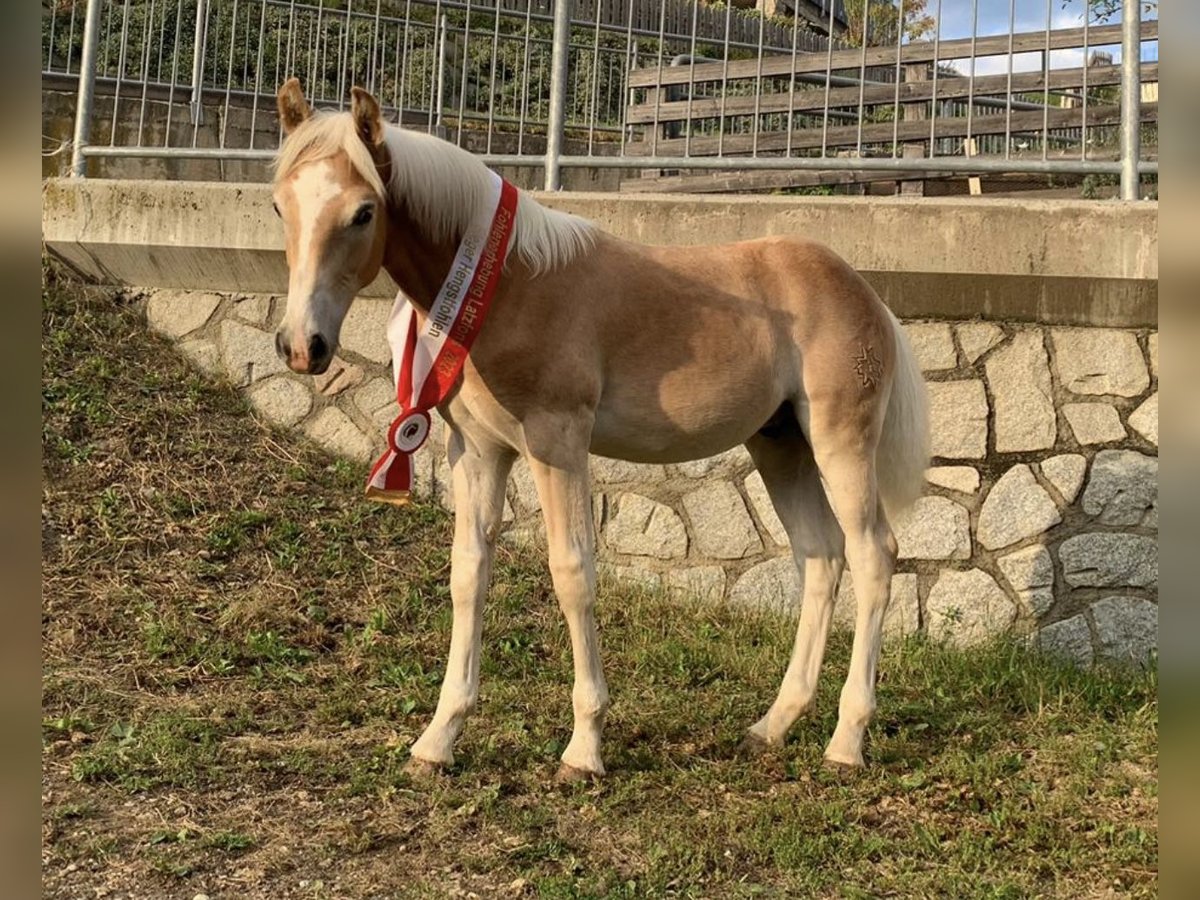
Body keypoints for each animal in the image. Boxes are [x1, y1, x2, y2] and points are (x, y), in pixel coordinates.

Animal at [270, 79, 926, 782]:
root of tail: (866, 293)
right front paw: (437, 739)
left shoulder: (557, 443)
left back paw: (846, 740)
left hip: (839, 443)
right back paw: (771, 726)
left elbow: (573, 571)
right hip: (780, 446)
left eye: (364, 212)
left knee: (873, 554)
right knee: (821, 556)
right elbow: (469, 573)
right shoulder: (479, 451)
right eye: (280, 206)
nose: (301, 347)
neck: (508, 284)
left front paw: (583, 748)